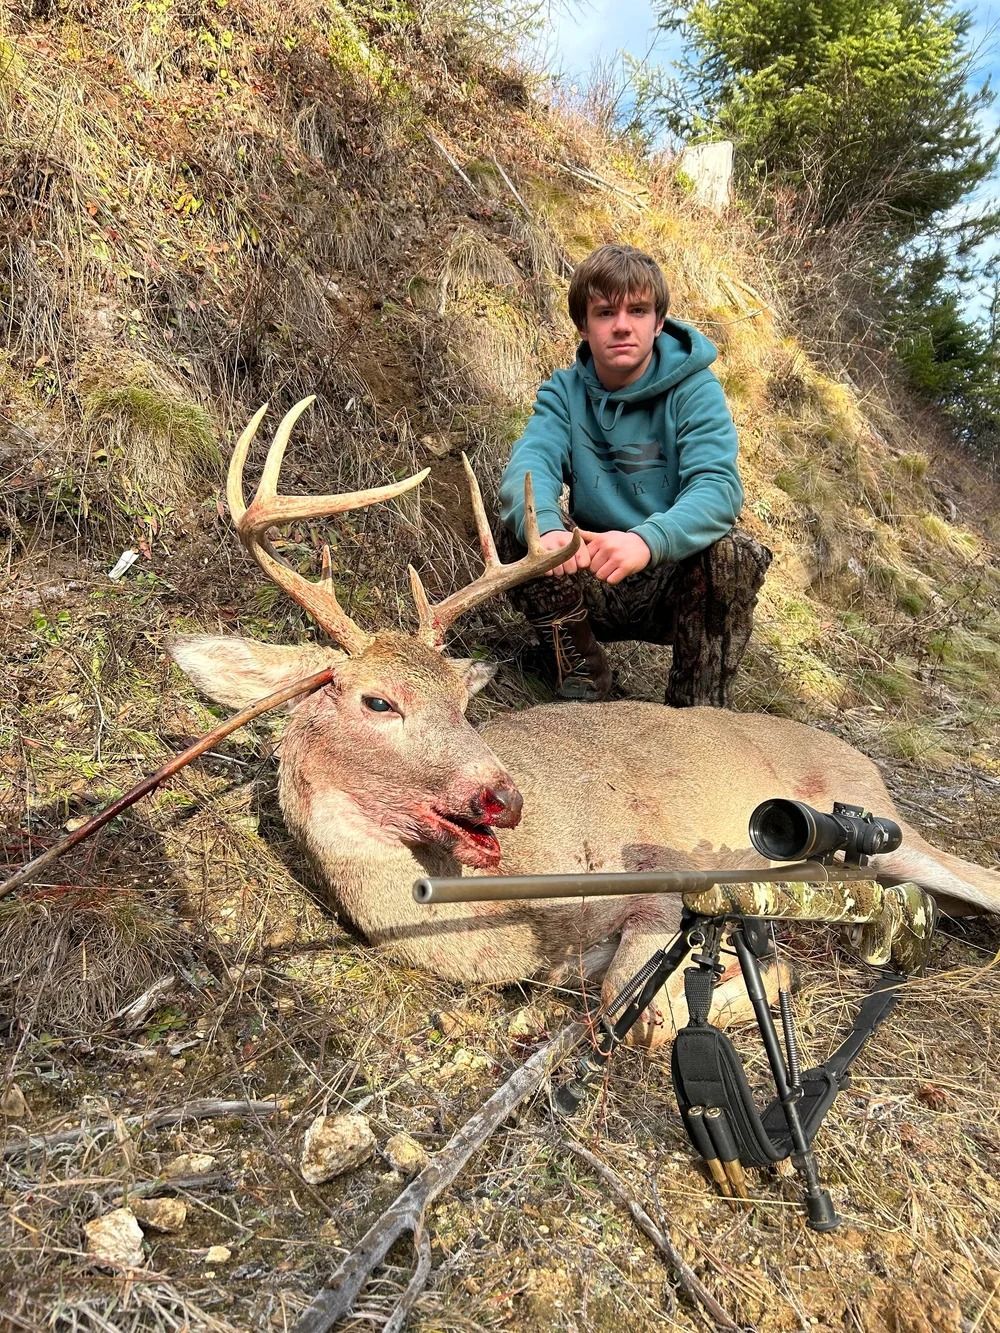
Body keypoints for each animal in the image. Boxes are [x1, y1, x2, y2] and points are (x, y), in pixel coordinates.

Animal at [170, 399, 1000, 1051]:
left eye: (464, 702)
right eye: (378, 701)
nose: (504, 795)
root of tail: (861, 757)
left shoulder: (662, 874)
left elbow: (638, 1009)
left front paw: (765, 972)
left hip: (876, 822)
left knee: (972, 875)